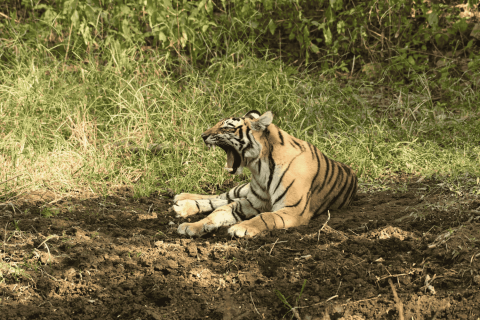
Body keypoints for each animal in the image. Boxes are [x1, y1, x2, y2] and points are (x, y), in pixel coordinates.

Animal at [172, 110, 356, 238]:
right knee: (221, 197)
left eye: (226, 127)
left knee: (223, 199)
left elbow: (265, 217)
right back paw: (182, 200)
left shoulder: (292, 209)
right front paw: (192, 226)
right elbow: (219, 211)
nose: (203, 136)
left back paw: (181, 204)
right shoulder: (253, 202)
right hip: (243, 189)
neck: (260, 167)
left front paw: (241, 228)